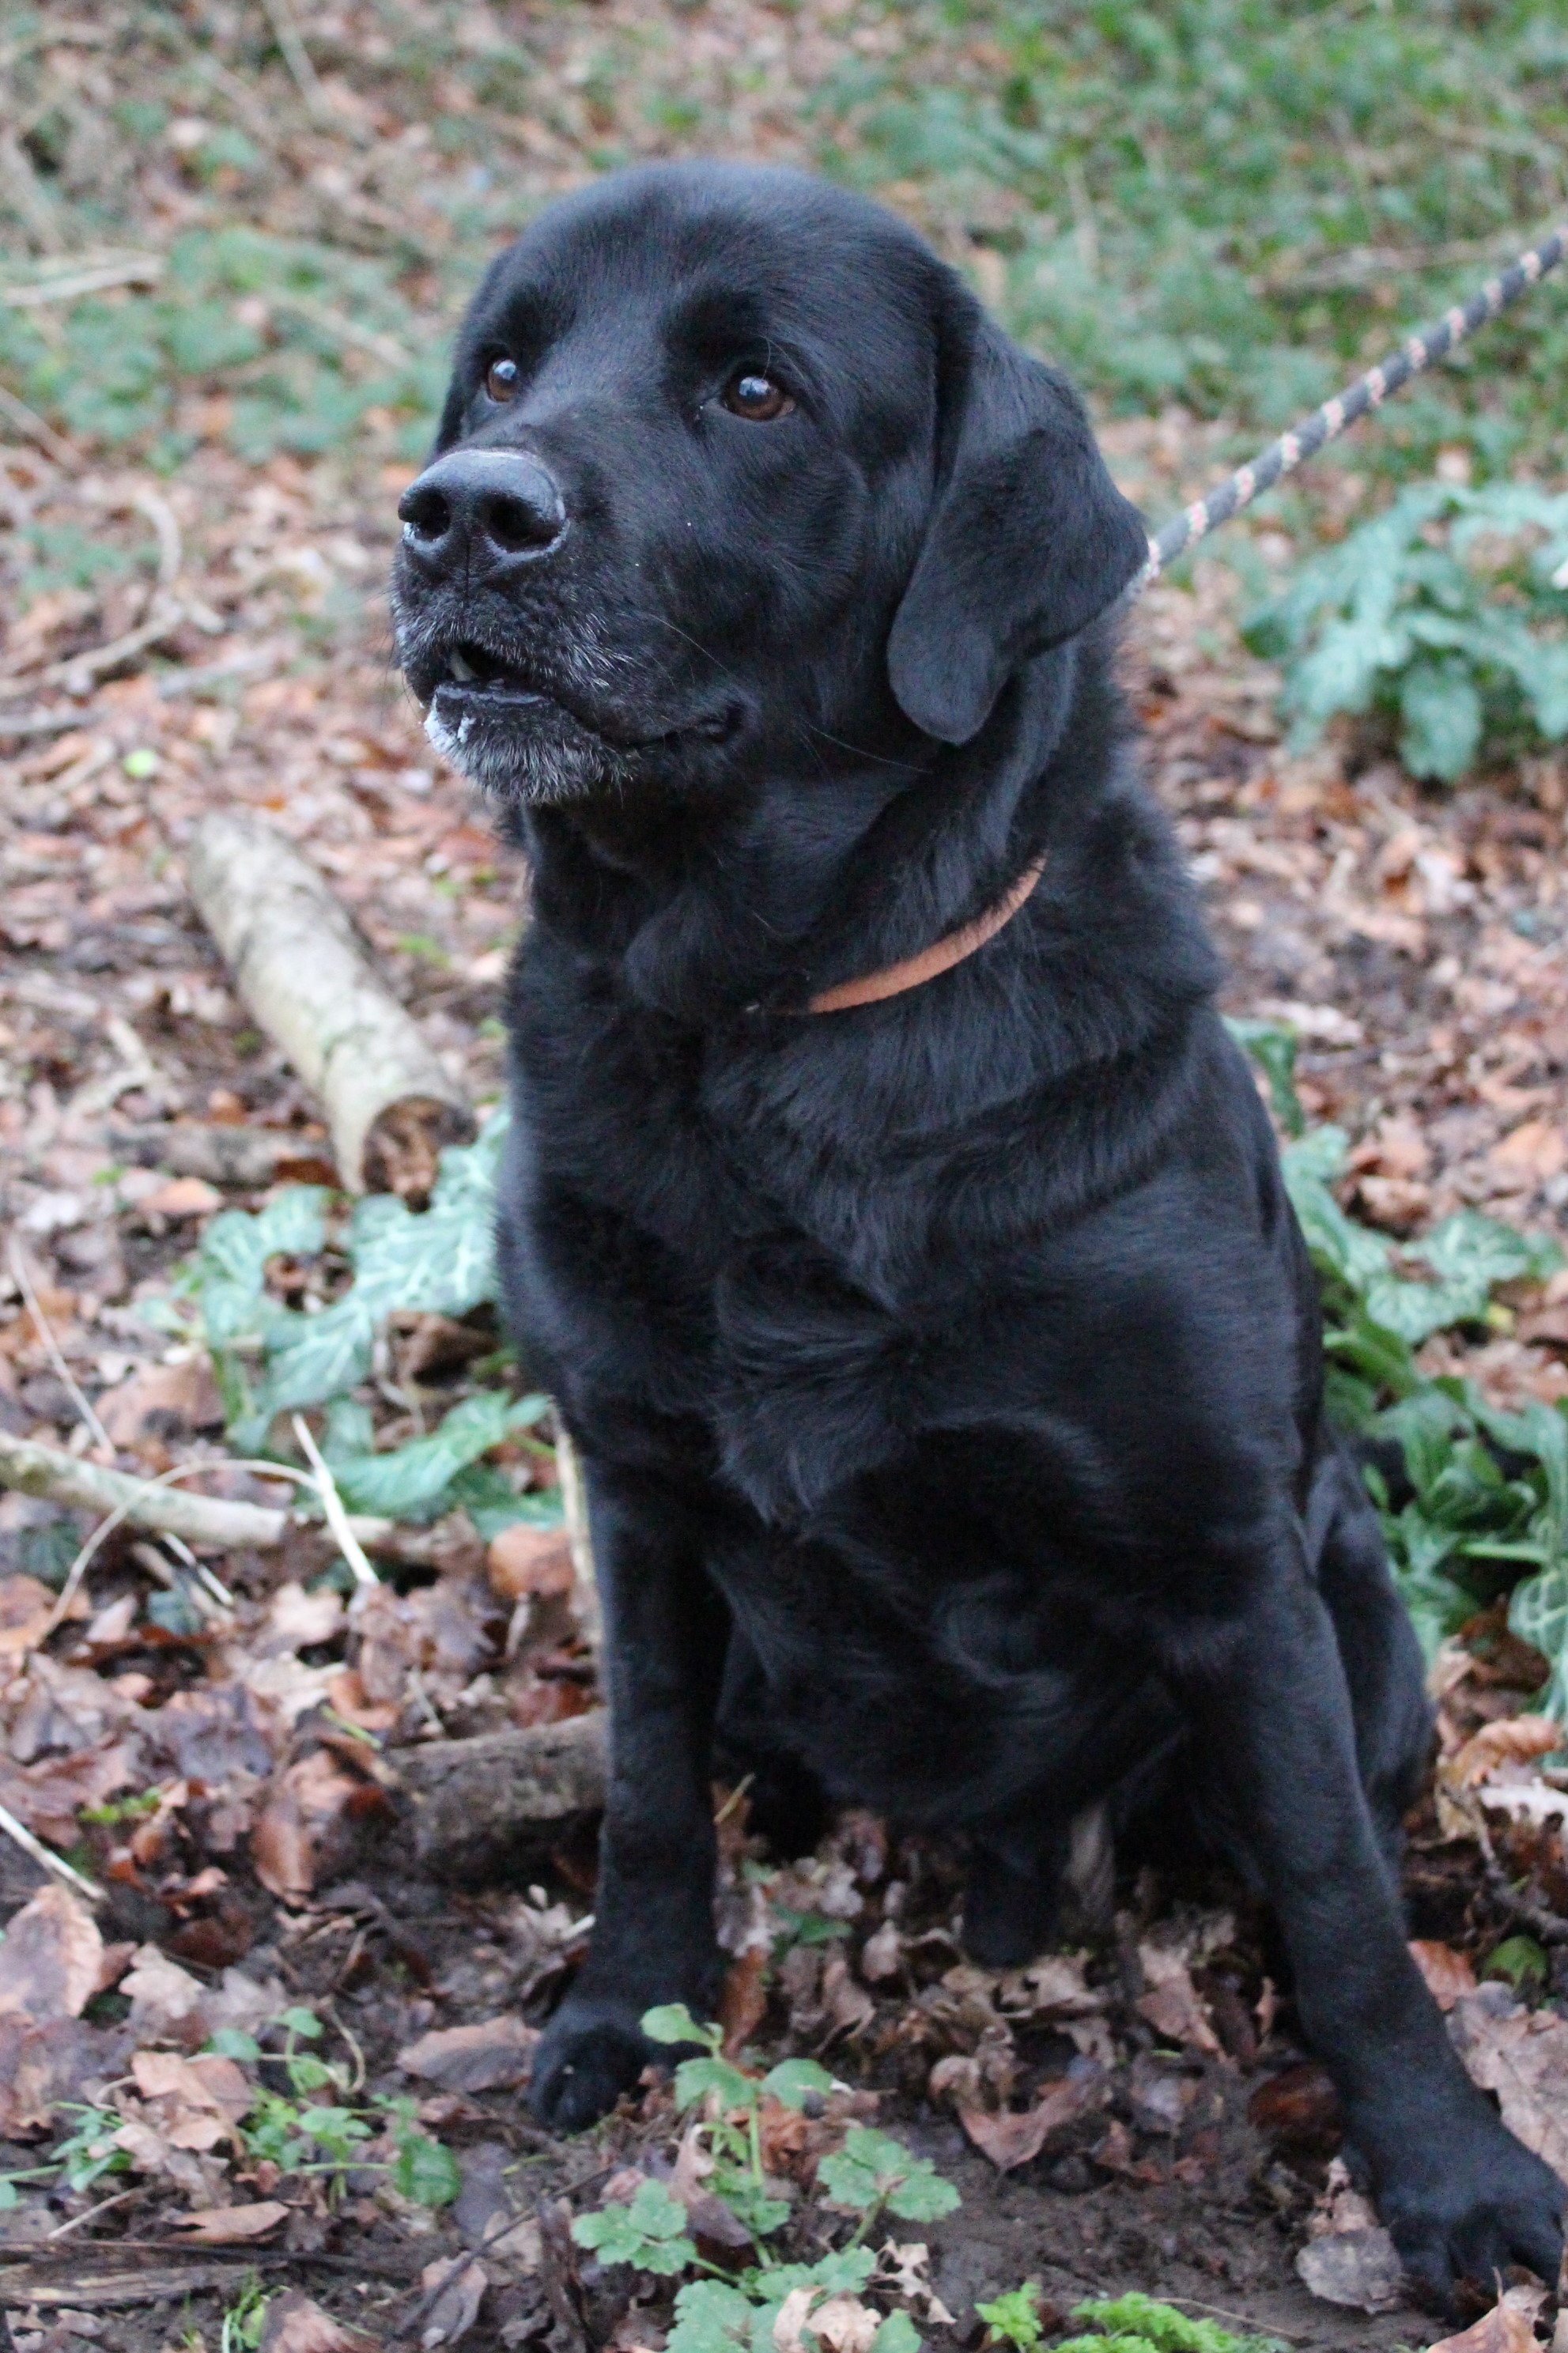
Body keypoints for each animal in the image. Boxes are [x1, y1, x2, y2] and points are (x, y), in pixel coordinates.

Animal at [393, 161, 1563, 2296]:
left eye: (754, 389)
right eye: (502, 367)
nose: (460, 512)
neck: (780, 1029)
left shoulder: (1228, 1567)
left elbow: (1346, 1912)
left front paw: (1448, 2174)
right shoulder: (635, 1490)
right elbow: (645, 1792)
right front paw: (625, 2008)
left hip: (1363, 1630)